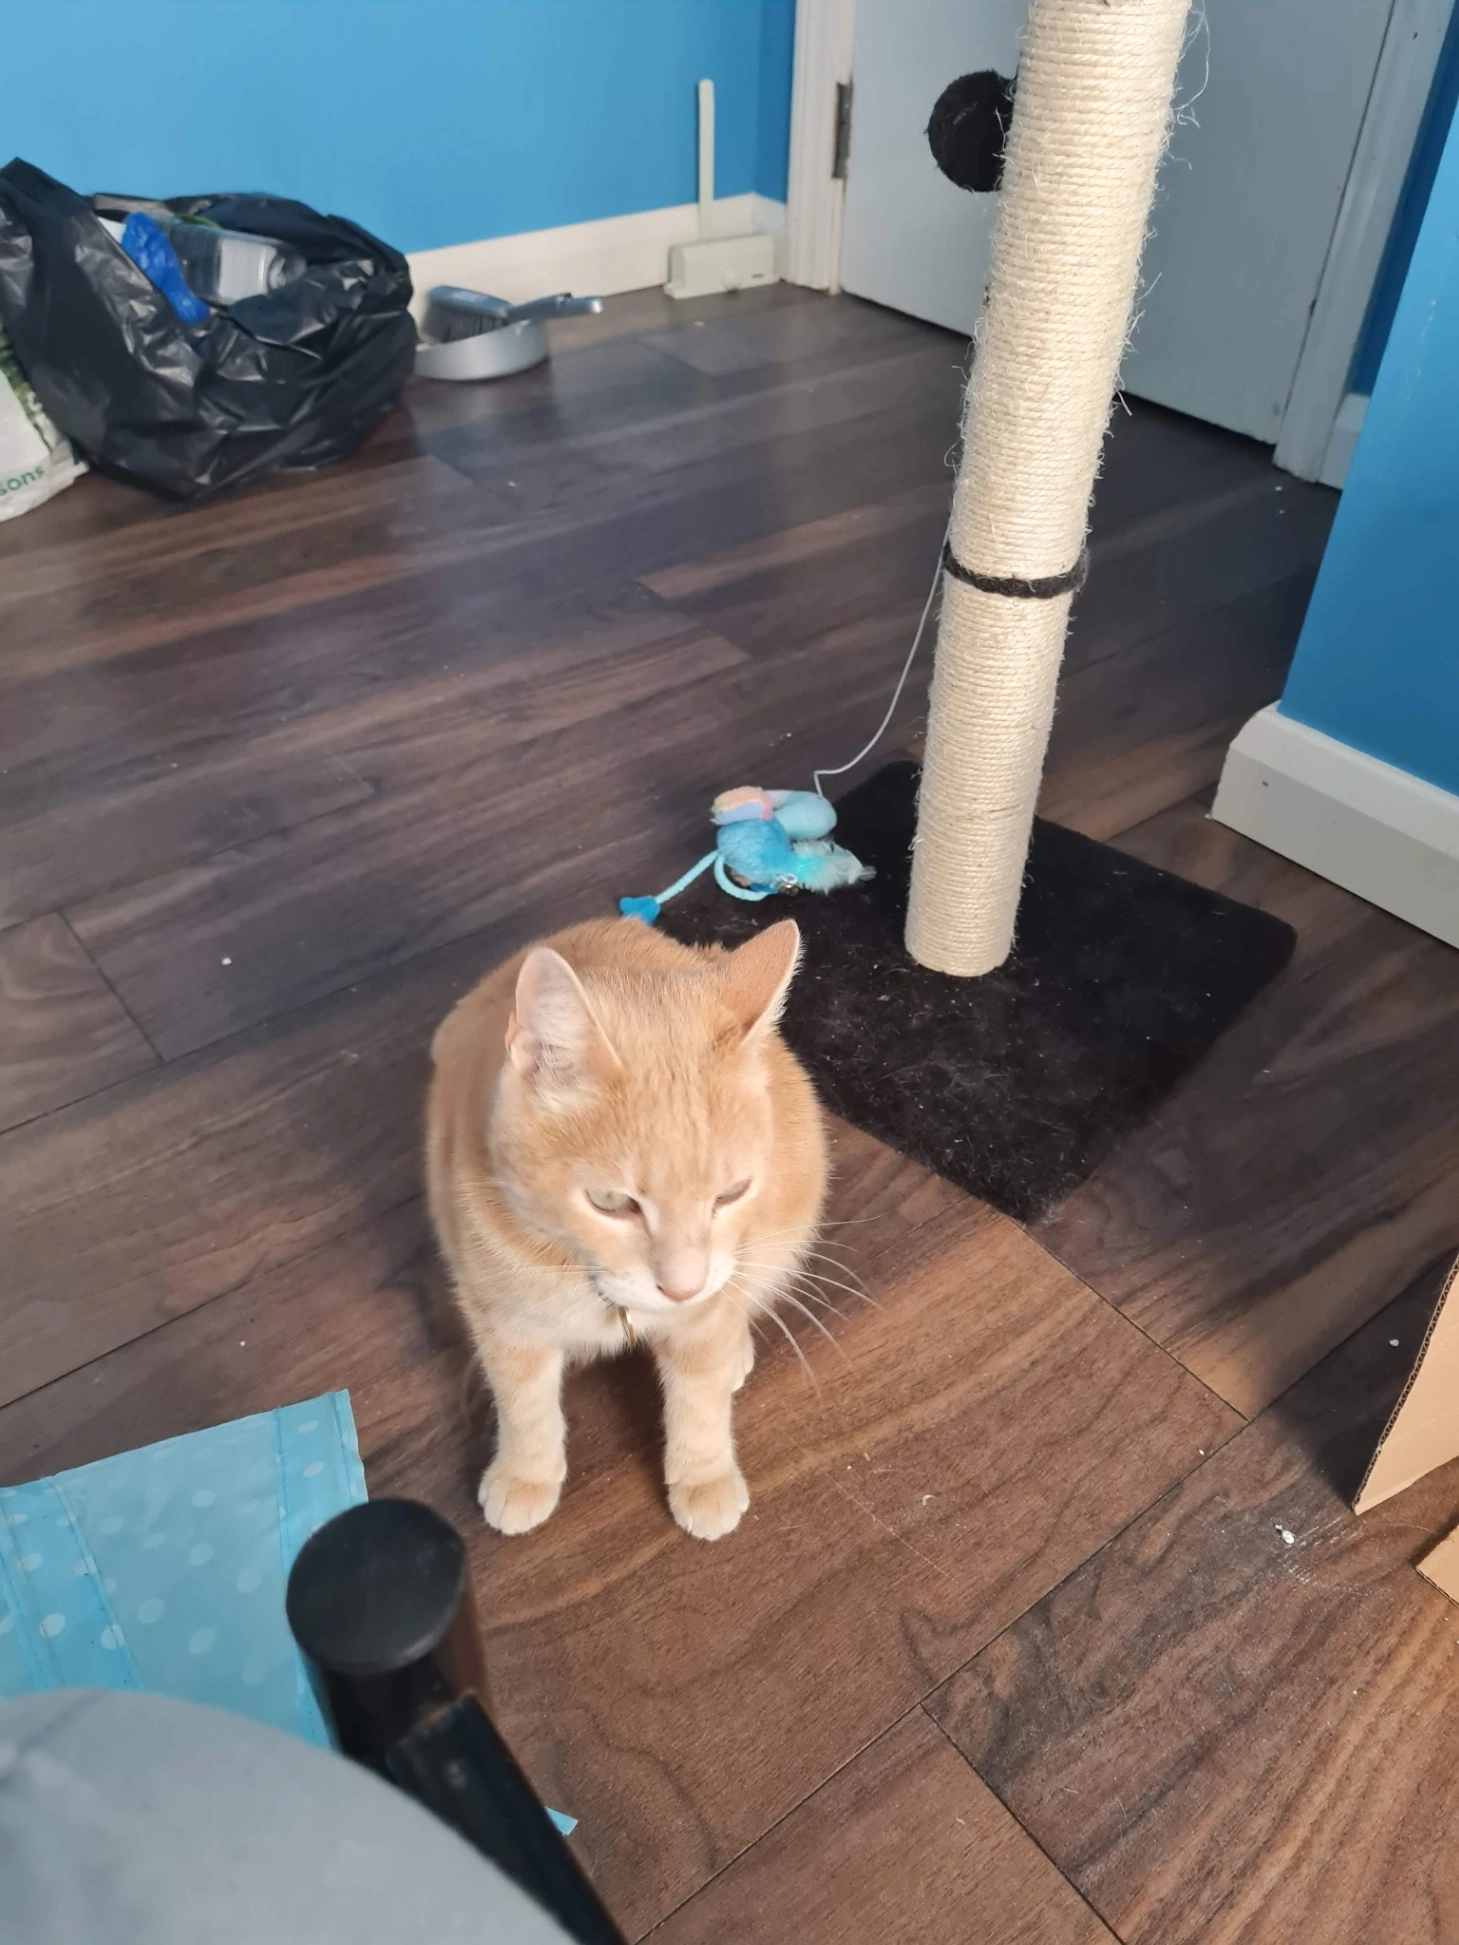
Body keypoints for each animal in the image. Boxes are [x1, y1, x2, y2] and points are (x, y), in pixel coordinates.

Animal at [425, 916, 827, 1541]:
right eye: (611, 1202)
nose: (682, 1287)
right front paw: (525, 1473)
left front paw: (704, 1476)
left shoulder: (706, 1309)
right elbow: (523, 1402)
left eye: (731, 1194)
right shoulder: (502, 1318)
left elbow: (700, 1398)